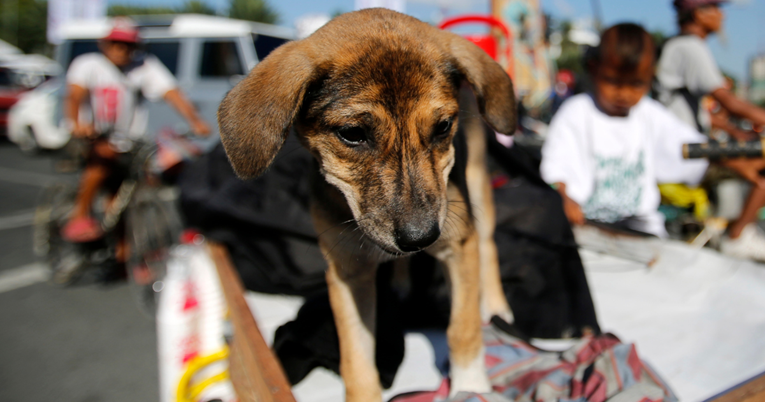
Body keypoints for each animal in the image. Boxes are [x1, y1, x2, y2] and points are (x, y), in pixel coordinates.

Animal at [218, 7, 516, 400]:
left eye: (442, 127)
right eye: (352, 134)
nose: (421, 238)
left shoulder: (458, 244)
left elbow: (462, 329)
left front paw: (470, 386)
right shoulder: (346, 271)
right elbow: (356, 359)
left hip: (479, 183)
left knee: (489, 245)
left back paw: (496, 306)